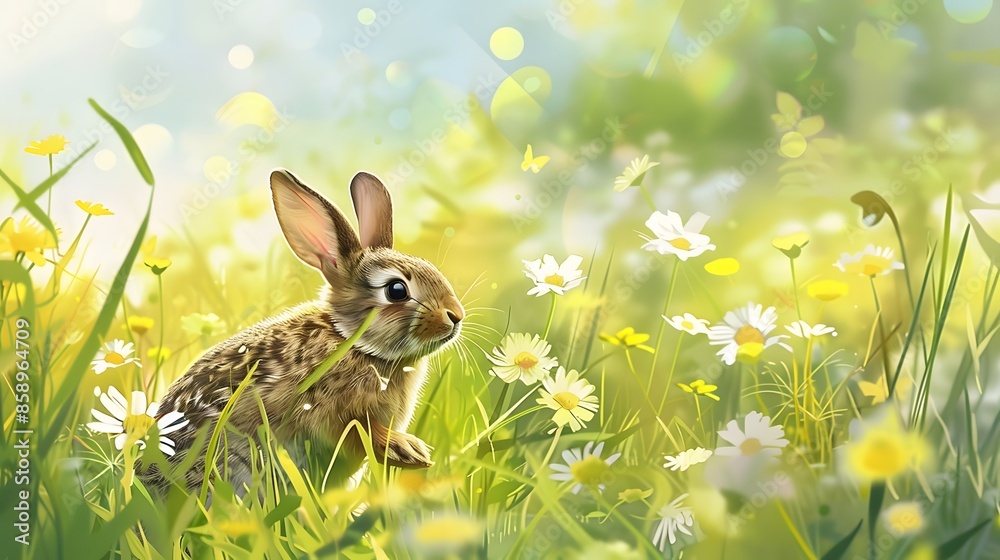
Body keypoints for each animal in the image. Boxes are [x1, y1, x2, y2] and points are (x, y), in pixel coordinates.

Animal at [138, 169, 464, 495]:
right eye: (396, 290)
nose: (456, 316)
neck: (351, 341)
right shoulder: (328, 411)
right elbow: (357, 430)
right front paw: (408, 449)